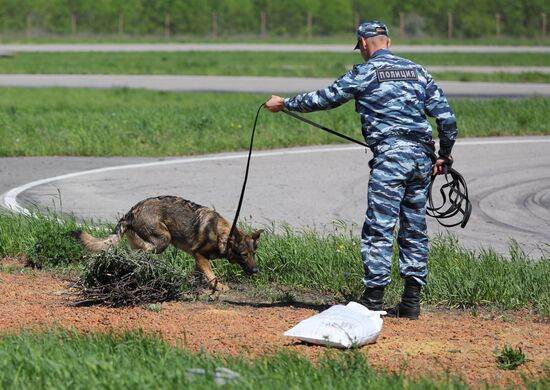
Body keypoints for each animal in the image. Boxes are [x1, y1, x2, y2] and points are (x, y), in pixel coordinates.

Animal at [74, 197, 266, 290]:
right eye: (244, 255)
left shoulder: (198, 260)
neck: (223, 236)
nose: (256, 271)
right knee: (142, 251)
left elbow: (200, 274)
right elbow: (211, 274)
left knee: (135, 250)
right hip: (163, 240)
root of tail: (132, 211)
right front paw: (218, 286)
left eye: (254, 254)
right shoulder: (199, 255)